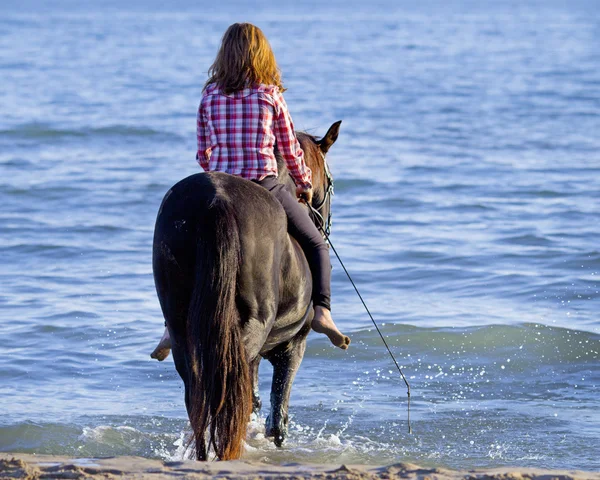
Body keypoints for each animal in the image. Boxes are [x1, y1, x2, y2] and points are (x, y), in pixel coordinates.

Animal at [152, 122, 342, 460]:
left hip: (181, 325)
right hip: (250, 330)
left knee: (198, 386)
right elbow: (277, 417)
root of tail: (217, 202)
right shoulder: (294, 346)